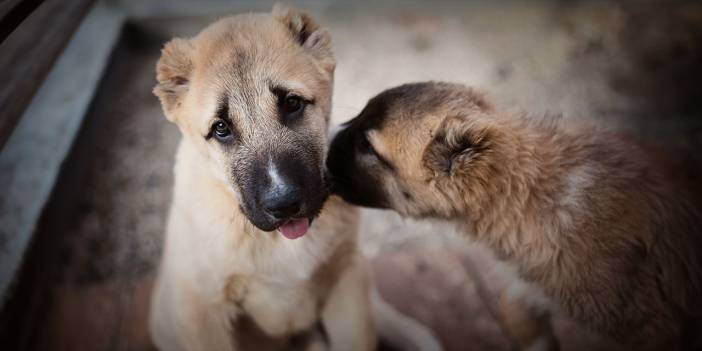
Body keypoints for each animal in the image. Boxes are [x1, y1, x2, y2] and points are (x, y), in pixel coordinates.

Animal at [152, 7, 442, 351]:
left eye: (292, 103)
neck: (277, 243)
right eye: (221, 128)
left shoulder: (346, 280)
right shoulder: (202, 311)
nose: (284, 205)